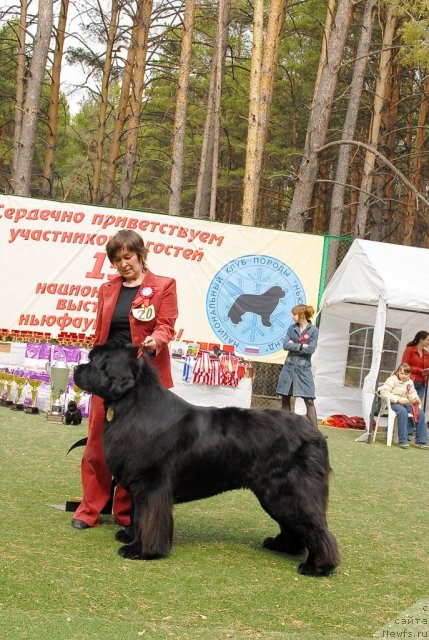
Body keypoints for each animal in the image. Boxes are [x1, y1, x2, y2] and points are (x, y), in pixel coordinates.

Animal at [75, 342, 340, 576]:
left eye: (93, 360)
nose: (77, 368)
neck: (134, 405)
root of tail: (316, 433)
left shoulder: (152, 485)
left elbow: (148, 518)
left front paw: (140, 550)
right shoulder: (139, 485)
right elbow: (137, 515)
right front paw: (129, 535)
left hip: (288, 490)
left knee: (316, 527)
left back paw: (317, 567)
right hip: (276, 494)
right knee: (294, 524)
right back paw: (283, 546)